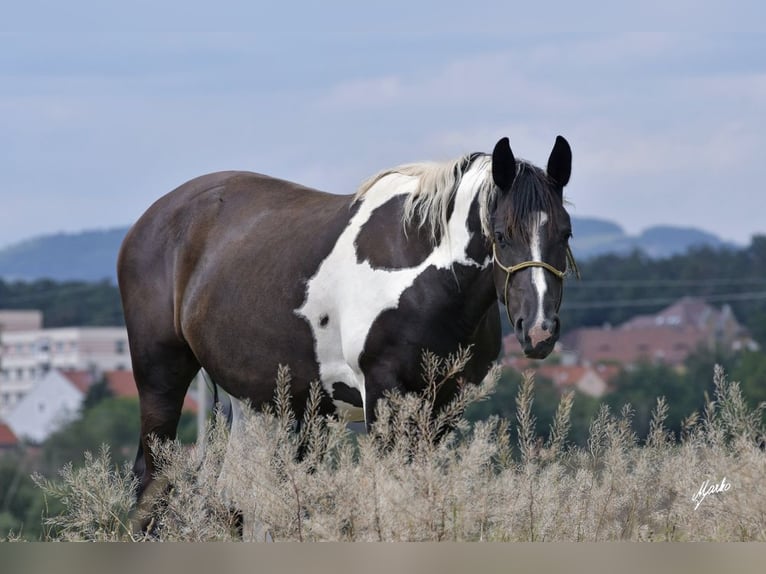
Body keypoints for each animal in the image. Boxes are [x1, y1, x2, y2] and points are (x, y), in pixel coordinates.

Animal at [117, 135, 580, 520]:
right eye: (501, 234)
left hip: (255, 403)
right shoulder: (383, 394)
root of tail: (153, 219)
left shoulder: (444, 406)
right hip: (161, 375)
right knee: (154, 478)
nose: (539, 331)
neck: (422, 272)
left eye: (565, 233)